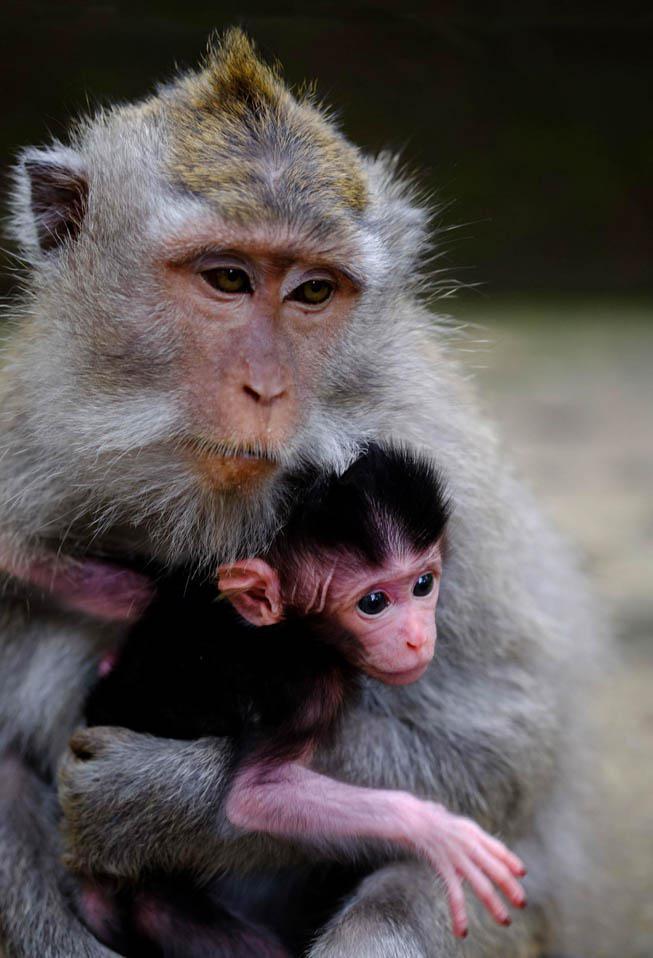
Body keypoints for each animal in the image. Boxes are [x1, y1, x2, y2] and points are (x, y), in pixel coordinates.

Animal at [73, 445, 525, 954]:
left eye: (423, 585)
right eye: (373, 603)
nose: (416, 637)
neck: (292, 630)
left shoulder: (189, 585)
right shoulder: (310, 689)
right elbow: (255, 797)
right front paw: (434, 830)